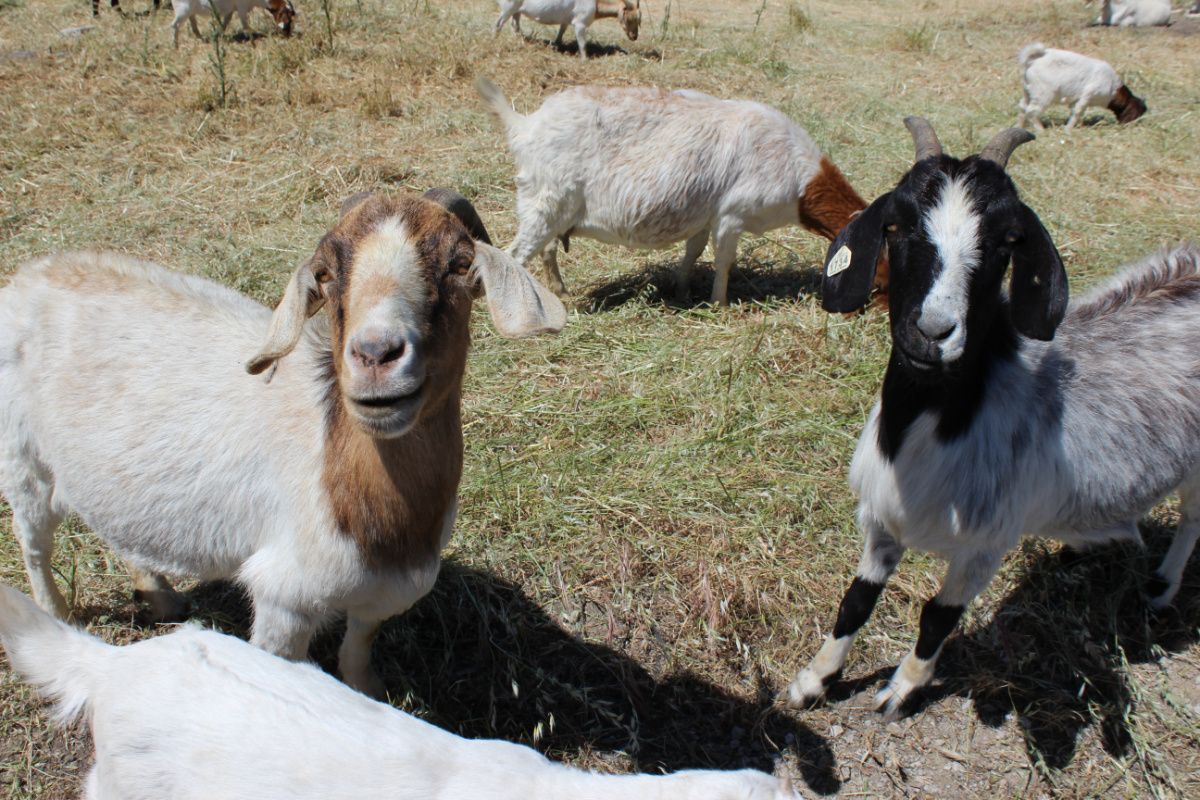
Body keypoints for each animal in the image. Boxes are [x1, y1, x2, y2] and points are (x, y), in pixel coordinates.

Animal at [0, 190, 566, 695]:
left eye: (459, 263)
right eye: (327, 274)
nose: (375, 355)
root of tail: (28, 276)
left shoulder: (384, 594)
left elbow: (359, 649)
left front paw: (370, 692)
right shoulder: (284, 598)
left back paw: (163, 600)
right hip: (23, 460)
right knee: (34, 541)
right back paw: (58, 617)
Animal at [475, 77, 883, 309]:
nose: (876, 309)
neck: (798, 172)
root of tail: (525, 125)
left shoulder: (706, 216)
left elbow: (693, 253)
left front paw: (683, 291)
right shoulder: (732, 215)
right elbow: (724, 261)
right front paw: (719, 305)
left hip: (555, 207)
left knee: (545, 249)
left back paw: (559, 292)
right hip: (544, 199)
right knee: (516, 254)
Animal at [494, 0, 643, 59]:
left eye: (639, 20)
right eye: (629, 19)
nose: (634, 36)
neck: (596, 4)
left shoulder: (566, 20)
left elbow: (561, 32)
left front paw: (556, 46)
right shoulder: (580, 24)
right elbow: (582, 44)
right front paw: (585, 60)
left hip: (516, 10)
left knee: (515, 24)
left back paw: (521, 42)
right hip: (508, 7)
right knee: (498, 23)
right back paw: (494, 43)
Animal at [787, 118, 1200, 719]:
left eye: (1008, 240)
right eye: (895, 224)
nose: (931, 332)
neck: (934, 428)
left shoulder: (987, 544)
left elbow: (937, 616)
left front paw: (902, 690)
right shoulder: (882, 520)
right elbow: (856, 600)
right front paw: (814, 681)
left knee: (1191, 521)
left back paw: (1162, 588)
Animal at [1017, 42, 1147, 130]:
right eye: (1137, 114)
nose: (1130, 126)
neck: (1112, 88)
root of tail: (1031, 60)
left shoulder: (1075, 100)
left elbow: (1074, 111)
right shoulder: (1088, 94)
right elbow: (1078, 111)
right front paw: (1068, 130)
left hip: (1027, 90)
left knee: (1023, 107)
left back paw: (1019, 127)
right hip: (1043, 93)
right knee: (1032, 111)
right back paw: (1041, 130)